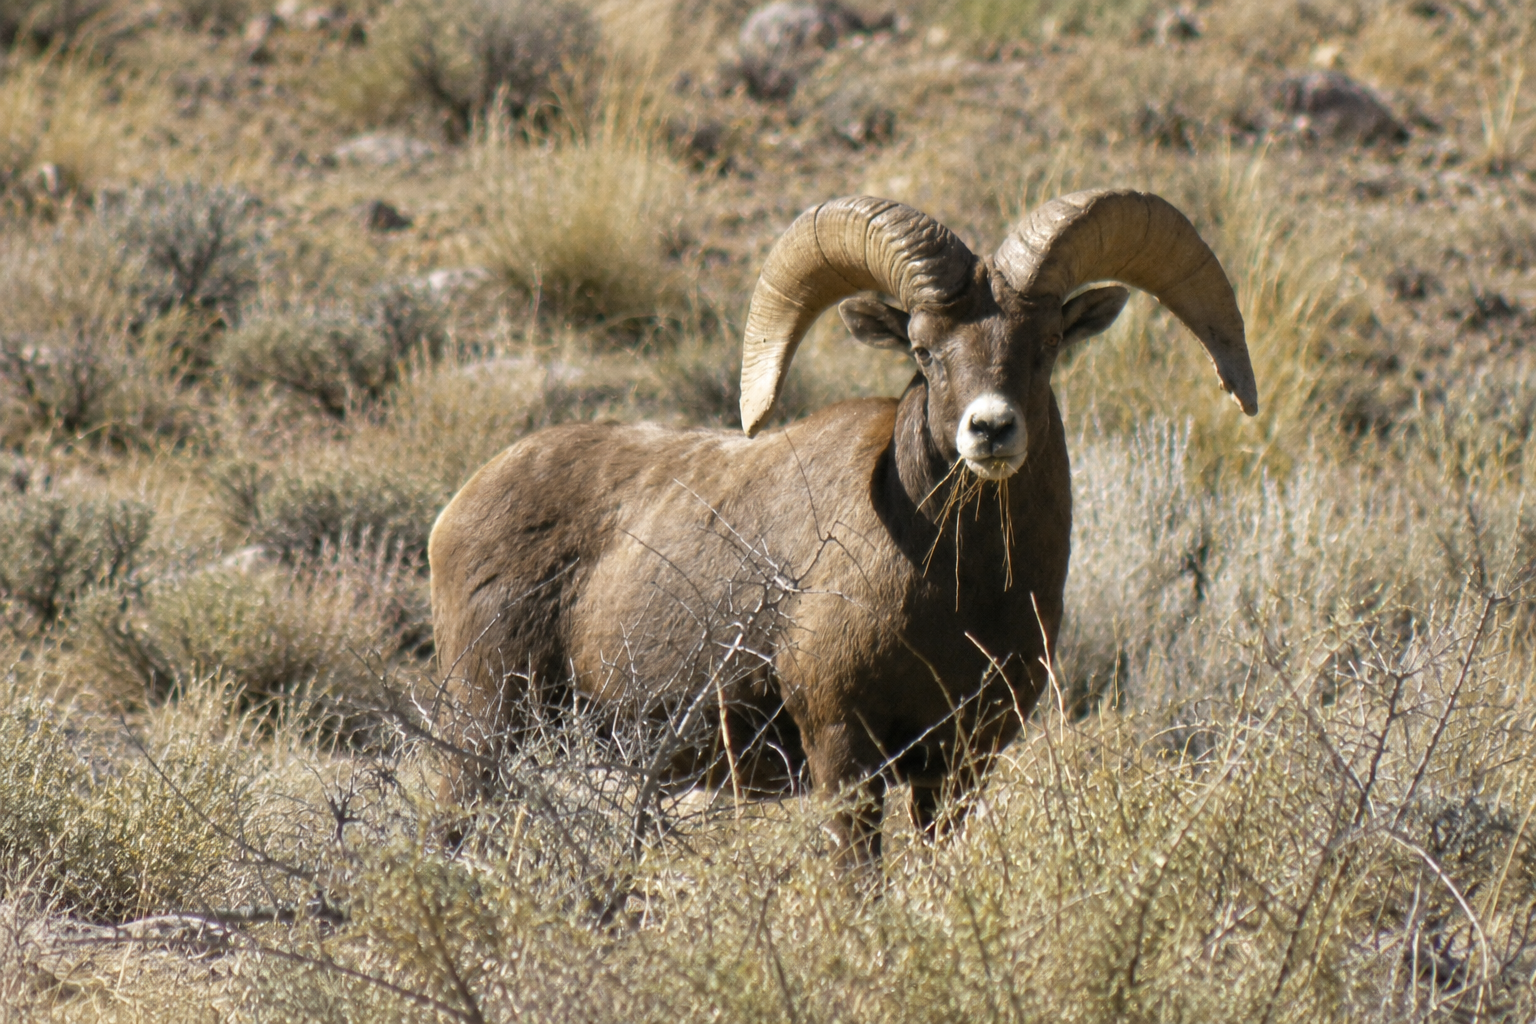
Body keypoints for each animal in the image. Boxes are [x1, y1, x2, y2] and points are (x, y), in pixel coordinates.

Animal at [428, 189, 1258, 864]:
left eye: (1048, 344)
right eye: (923, 349)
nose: (990, 430)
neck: (959, 592)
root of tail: (457, 511)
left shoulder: (958, 764)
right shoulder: (841, 749)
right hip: (484, 731)